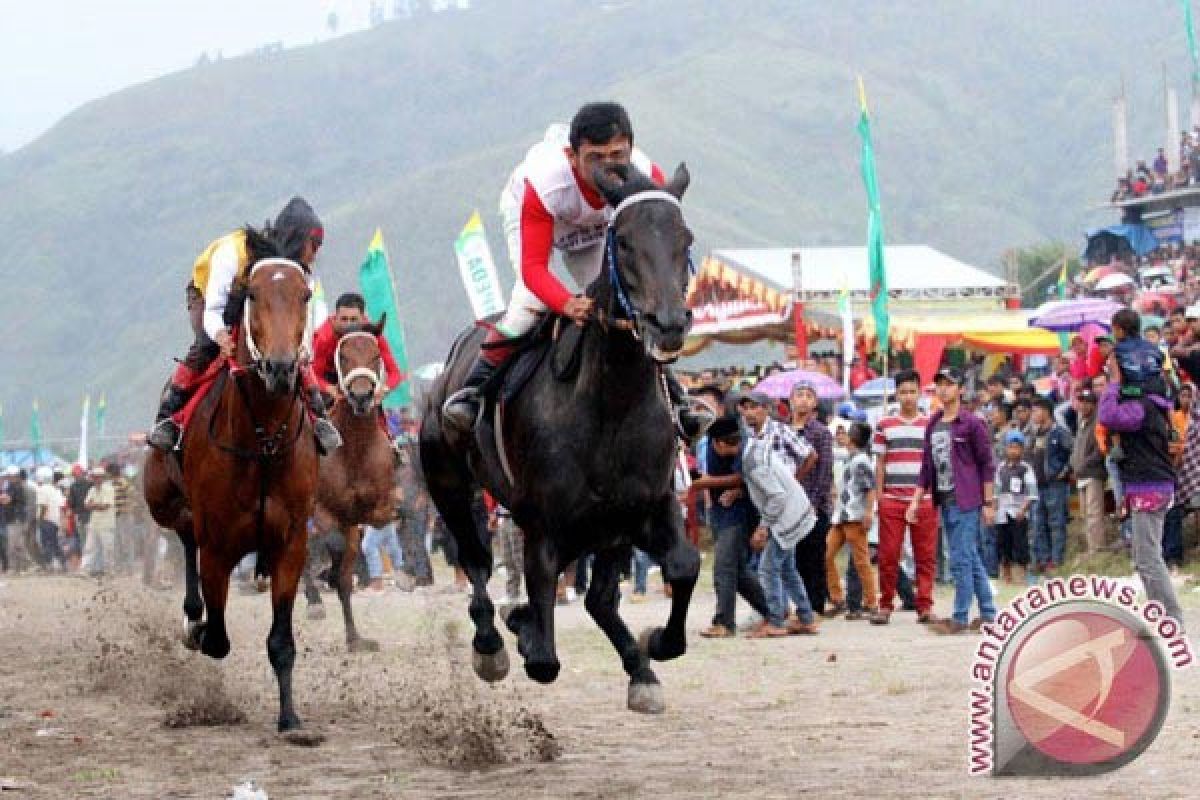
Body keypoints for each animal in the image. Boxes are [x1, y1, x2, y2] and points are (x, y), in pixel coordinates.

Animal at [142, 231, 321, 738]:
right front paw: (198, 627)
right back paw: (191, 616)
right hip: (162, 499)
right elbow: (217, 637)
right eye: (253, 294)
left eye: (305, 295)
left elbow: (281, 641)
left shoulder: (292, 541)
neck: (262, 441)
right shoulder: (219, 542)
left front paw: (290, 719)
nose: (280, 368)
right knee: (184, 534)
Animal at [304, 319, 393, 652]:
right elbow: (332, 541)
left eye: (376, 355)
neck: (354, 448)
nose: (362, 396)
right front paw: (327, 572)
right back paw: (315, 597)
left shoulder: (372, 508)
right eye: (343, 356)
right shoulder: (321, 509)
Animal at [422, 163, 700, 714]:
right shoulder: (544, 525)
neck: (612, 405)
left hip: (609, 527)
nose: (669, 325)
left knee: (598, 599)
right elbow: (544, 657)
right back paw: (491, 644)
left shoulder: (650, 503)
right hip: (448, 484)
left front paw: (658, 643)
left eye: (686, 239)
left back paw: (639, 669)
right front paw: (523, 631)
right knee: (476, 560)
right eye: (624, 241)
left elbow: (683, 565)